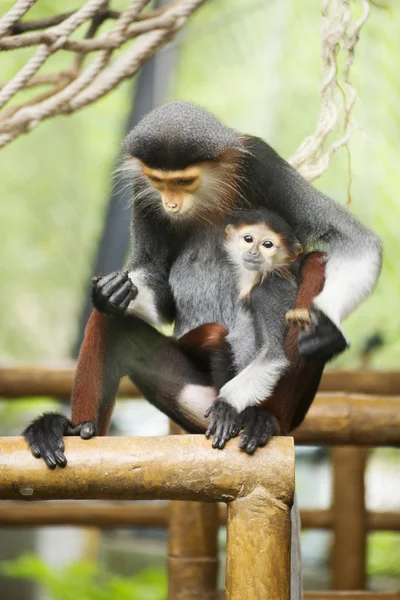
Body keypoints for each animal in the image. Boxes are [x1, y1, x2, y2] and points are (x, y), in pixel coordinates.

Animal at [205, 206, 310, 450]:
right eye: (248, 239)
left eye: (267, 244)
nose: (253, 253)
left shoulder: (269, 293)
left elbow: (272, 356)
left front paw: (226, 406)